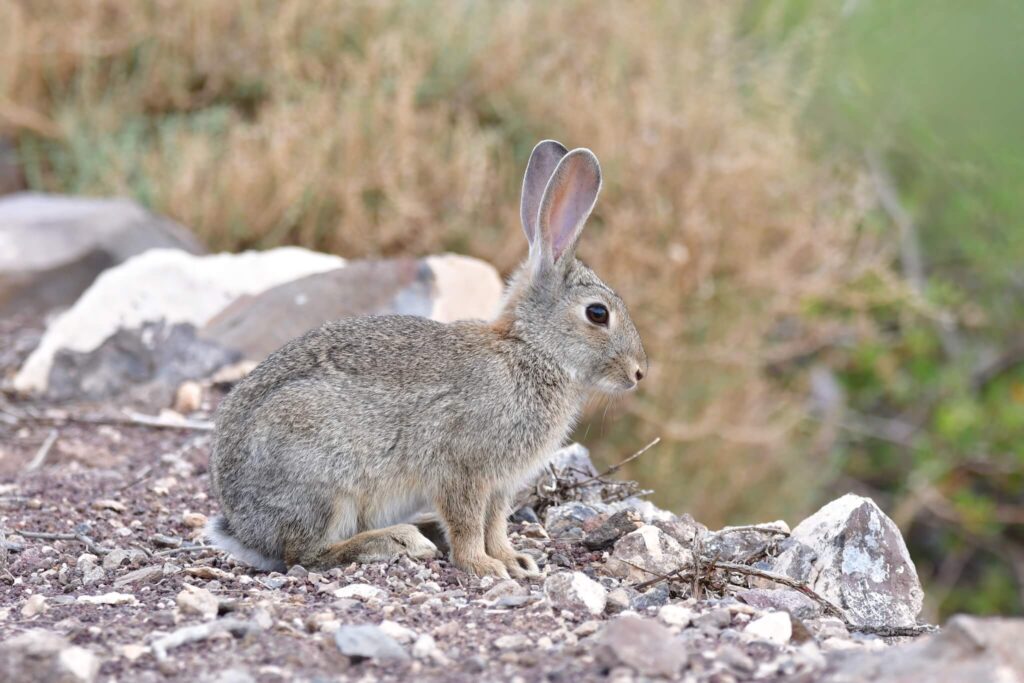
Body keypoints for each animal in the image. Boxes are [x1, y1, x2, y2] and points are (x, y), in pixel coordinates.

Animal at [207, 140, 647, 577]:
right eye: (597, 313)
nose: (639, 372)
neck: (531, 350)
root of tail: (243, 527)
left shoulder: (500, 485)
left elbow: (495, 523)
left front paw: (513, 560)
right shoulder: (463, 469)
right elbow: (468, 523)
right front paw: (484, 566)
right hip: (325, 483)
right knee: (305, 554)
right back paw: (398, 540)